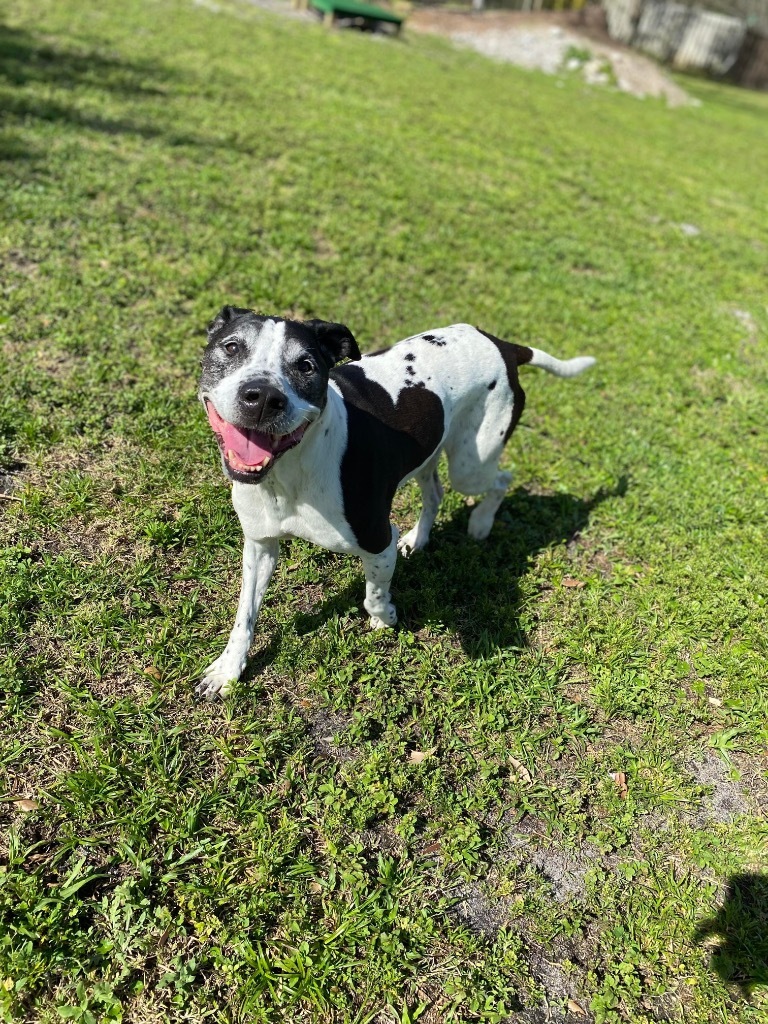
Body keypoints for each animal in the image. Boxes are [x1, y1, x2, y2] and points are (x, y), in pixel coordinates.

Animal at [196, 307, 593, 700]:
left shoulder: (378, 540)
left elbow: (372, 594)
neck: (288, 470)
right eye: (232, 347)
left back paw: (481, 523)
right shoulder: (259, 546)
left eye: (306, 365)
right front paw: (228, 669)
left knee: (501, 480)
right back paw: (419, 539)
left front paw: (384, 616)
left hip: (471, 465)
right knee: (436, 493)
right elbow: (244, 615)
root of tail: (502, 344)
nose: (263, 397)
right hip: (427, 453)